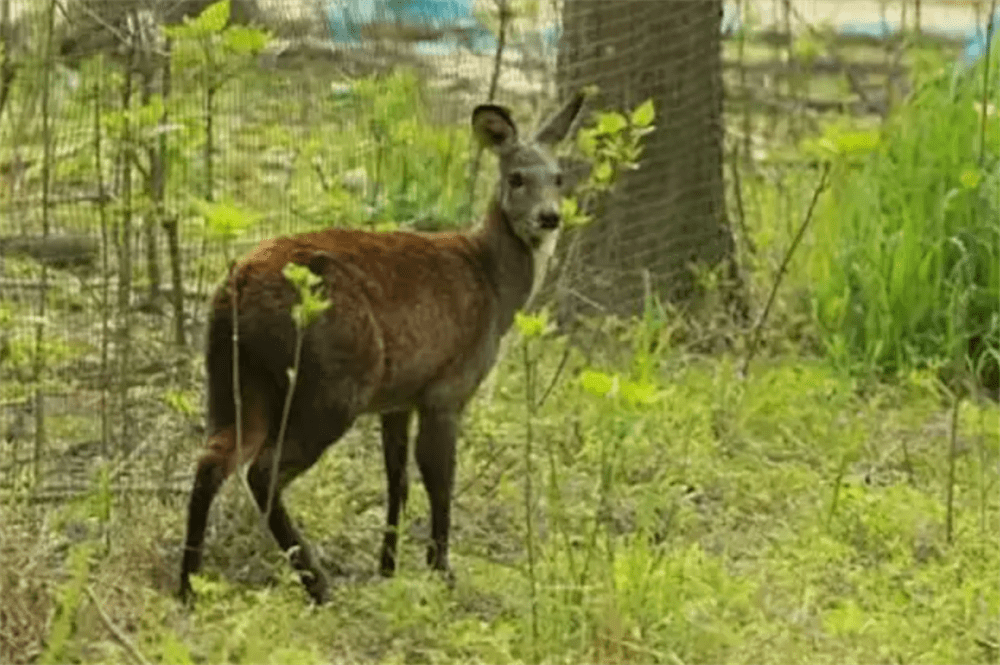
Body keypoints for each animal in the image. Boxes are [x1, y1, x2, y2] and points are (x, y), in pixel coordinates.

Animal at [180, 91, 584, 604]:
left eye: (559, 177)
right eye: (516, 177)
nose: (549, 217)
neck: (493, 286)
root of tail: (237, 286)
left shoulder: (398, 398)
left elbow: (398, 481)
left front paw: (388, 569)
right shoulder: (446, 388)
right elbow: (438, 481)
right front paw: (441, 573)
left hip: (236, 376)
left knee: (213, 458)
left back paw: (188, 586)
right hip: (334, 382)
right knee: (262, 470)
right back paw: (319, 585)